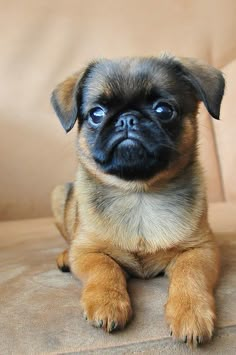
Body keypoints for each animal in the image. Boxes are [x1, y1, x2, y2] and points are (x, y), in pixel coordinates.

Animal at [50, 55, 224, 348]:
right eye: (96, 114)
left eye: (164, 110)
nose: (127, 119)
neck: (139, 193)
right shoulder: (88, 252)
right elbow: (104, 268)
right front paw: (108, 302)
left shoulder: (202, 249)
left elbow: (190, 274)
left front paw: (190, 313)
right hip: (59, 194)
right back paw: (64, 255)